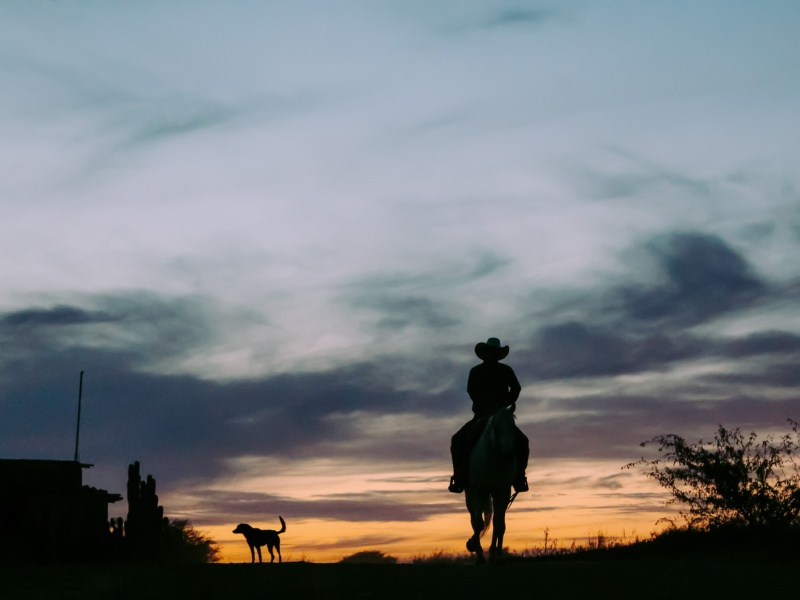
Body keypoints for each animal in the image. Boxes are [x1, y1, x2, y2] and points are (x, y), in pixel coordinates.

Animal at [462, 406, 520, 564]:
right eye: (495, 427)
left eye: (513, 426)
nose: (508, 454)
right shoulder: (478, 491)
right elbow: (478, 524)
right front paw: (476, 549)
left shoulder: (503, 492)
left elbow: (499, 524)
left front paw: (497, 555)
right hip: (471, 495)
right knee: (474, 520)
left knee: (494, 521)